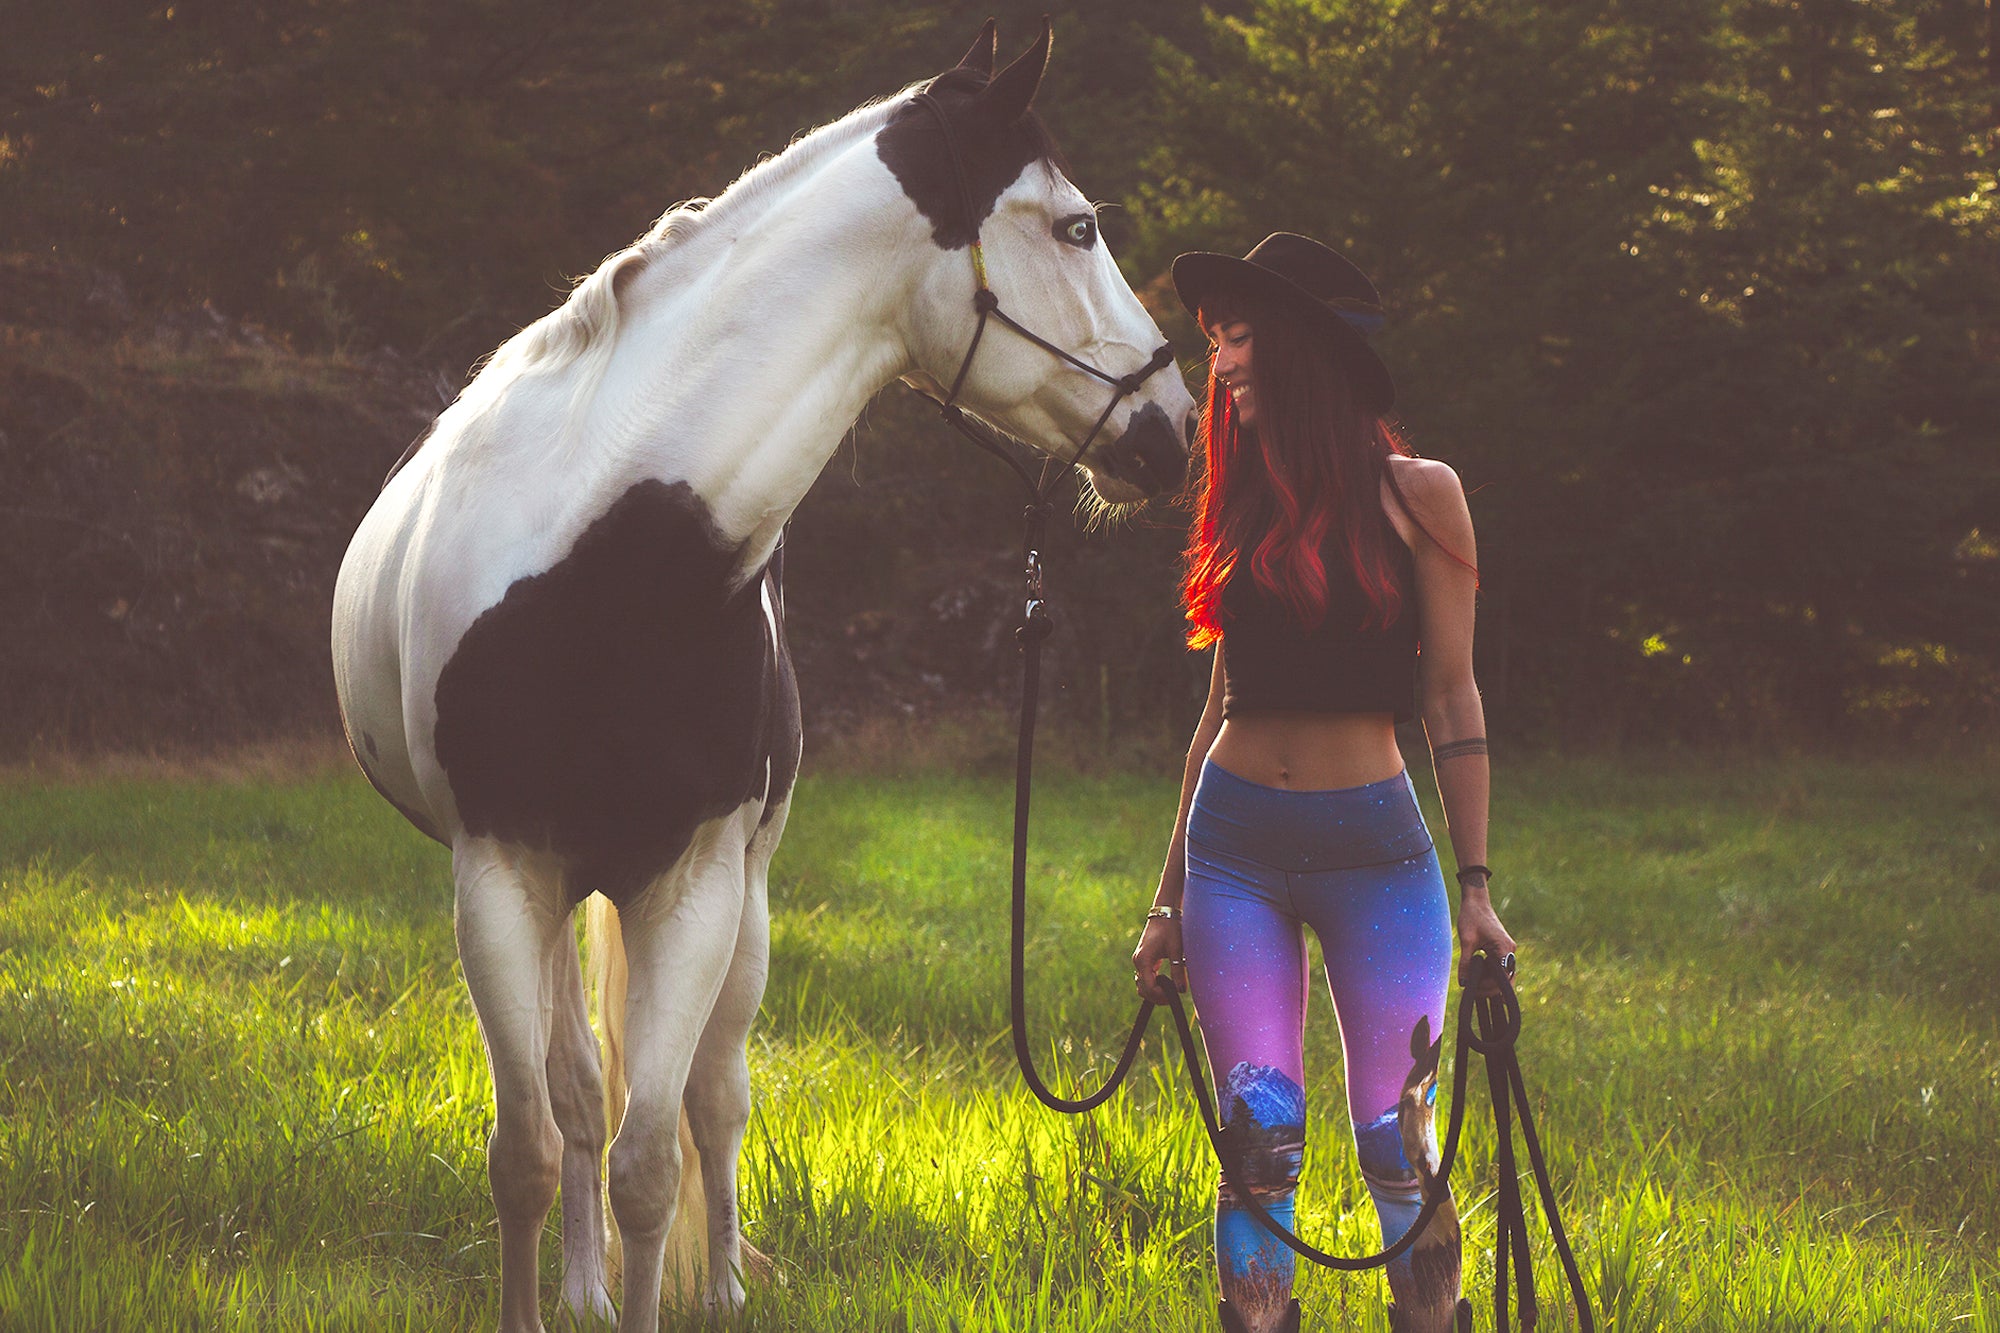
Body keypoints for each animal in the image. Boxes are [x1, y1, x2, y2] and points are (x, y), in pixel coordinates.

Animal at [330, 20, 1194, 1333]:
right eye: (1074, 225)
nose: (1174, 428)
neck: (615, 562)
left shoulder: (693, 883)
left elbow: (653, 1159)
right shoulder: (498, 871)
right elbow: (528, 1149)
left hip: (741, 896)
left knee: (710, 1095)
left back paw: (723, 1280)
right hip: (562, 889)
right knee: (576, 1094)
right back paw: (583, 1289)